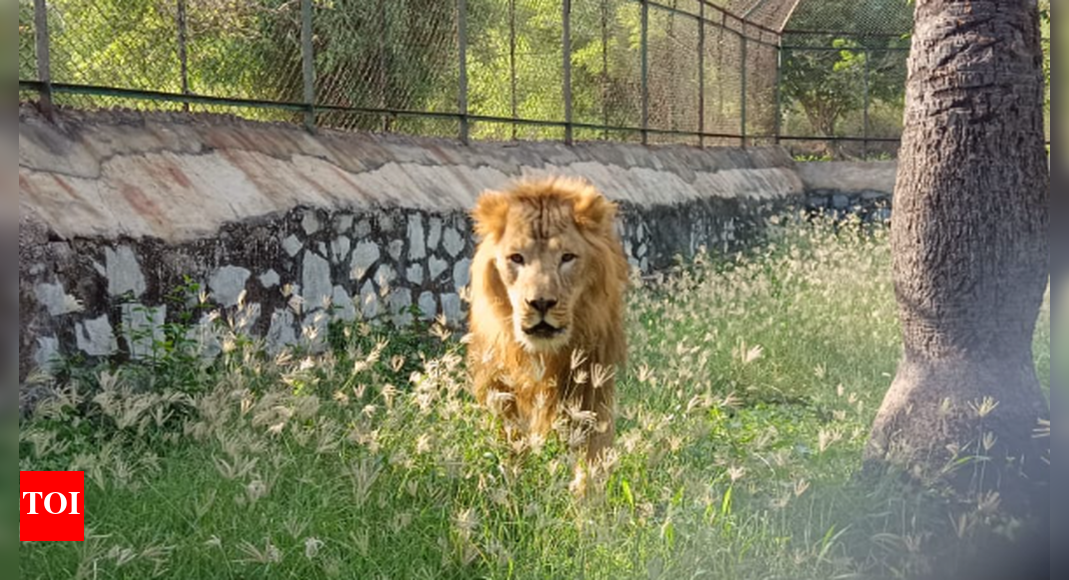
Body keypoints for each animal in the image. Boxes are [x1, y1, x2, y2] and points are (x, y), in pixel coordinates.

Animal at [466, 176, 629, 475]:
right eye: (516, 258)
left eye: (567, 257)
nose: (540, 302)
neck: (543, 356)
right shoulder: (500, 390)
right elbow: (509, 449)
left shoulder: (590, 386)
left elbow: (590, 457)